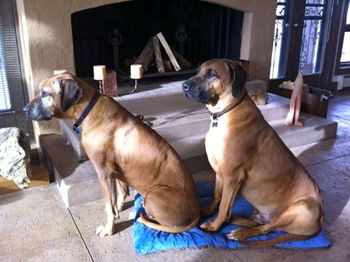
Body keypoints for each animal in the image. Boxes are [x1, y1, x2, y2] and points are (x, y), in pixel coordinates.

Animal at [23, 72, 200, 236]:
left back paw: (140, 216)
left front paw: (109, 228)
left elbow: (109, 205)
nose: (24, 109)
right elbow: (121, 192)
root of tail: (196, 212)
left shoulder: (104, 173)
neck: (88, 110)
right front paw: (119, 206)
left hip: (153, 195)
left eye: (44, 93)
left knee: (161, 222)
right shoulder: (116, 171)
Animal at [182, 58, 324, 246]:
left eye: (212, 74)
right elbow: (216, 196)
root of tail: (321, 220)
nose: (183, 85)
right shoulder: (220, 172)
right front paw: (207, 211)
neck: (225, 112)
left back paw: (240, 233)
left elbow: (224, 205)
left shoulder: (233, 176)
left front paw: (214, 226)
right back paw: (234, 219)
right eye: (197, 71)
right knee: (257, 221)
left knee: (265, 229)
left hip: (303, 207)